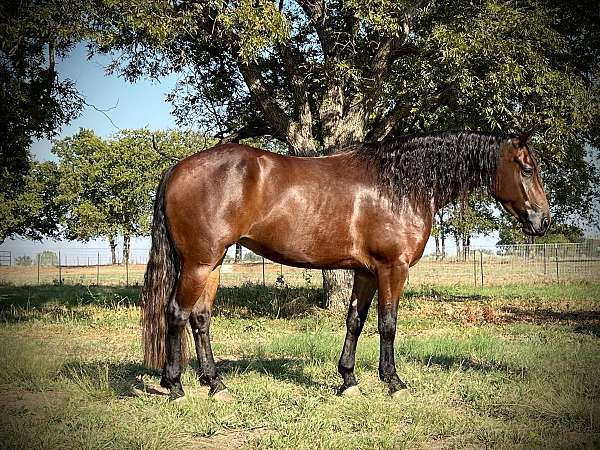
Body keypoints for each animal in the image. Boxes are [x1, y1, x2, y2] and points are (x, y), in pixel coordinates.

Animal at [139, 128, 548, 400]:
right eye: (527, 169)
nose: (543, 221)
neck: (399, 186)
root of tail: (178, 168)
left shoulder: (366, 270)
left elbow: (356, 320)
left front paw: (348, 380)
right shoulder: (392, 268)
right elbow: (387, 324)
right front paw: (394, 382)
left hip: (213, 263)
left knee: (200, 317)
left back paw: (216, 384)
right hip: (198, 263)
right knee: (176, 313)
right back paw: (174, 385)